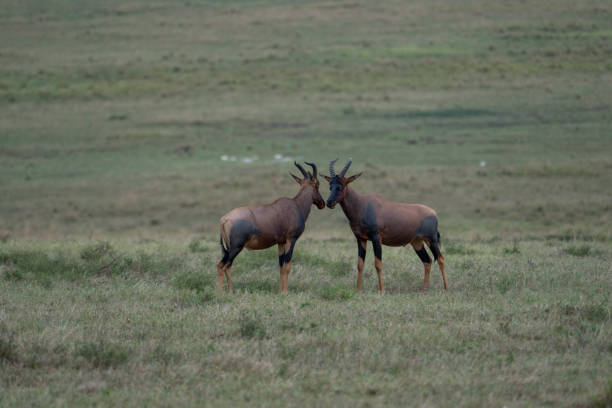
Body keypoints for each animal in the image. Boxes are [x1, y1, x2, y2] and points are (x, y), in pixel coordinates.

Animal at [219, 162, 328, 294]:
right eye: (317, 184)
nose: (322, 203)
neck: (296, 205)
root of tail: (224, 219)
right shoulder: (291, 239)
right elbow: (287, 265)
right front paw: (285, 292)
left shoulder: (281, 242)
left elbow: (281, 266)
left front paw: (280, 291)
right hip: (236, 247)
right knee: (225, 265)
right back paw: (228, 291)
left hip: (228, 248)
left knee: (221, 265)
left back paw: (222, 290)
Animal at [322, 157, 448, 294]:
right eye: (330, 186)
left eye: (341, 186)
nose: (329, 203)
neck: (363, 205)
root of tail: (433, 213)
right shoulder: (360, 239)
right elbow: (360, 264)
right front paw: (357, 290)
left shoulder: (376, 238)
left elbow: (378, 264)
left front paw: (382, 290)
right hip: (417, 242)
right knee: (427, 260)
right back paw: (425, 289)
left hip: (431, 239)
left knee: (440, 258)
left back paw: (446, 288)